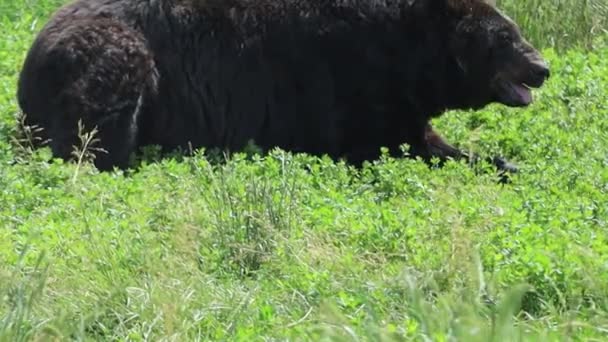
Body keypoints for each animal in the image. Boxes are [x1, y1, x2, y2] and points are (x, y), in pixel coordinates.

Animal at [19, 0, 552, 172]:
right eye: (506, 38)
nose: (542, 68)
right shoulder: (350, 80)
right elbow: (388, 144)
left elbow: (422, 136)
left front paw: (508, 162)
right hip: (114, 53)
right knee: (99, 128)